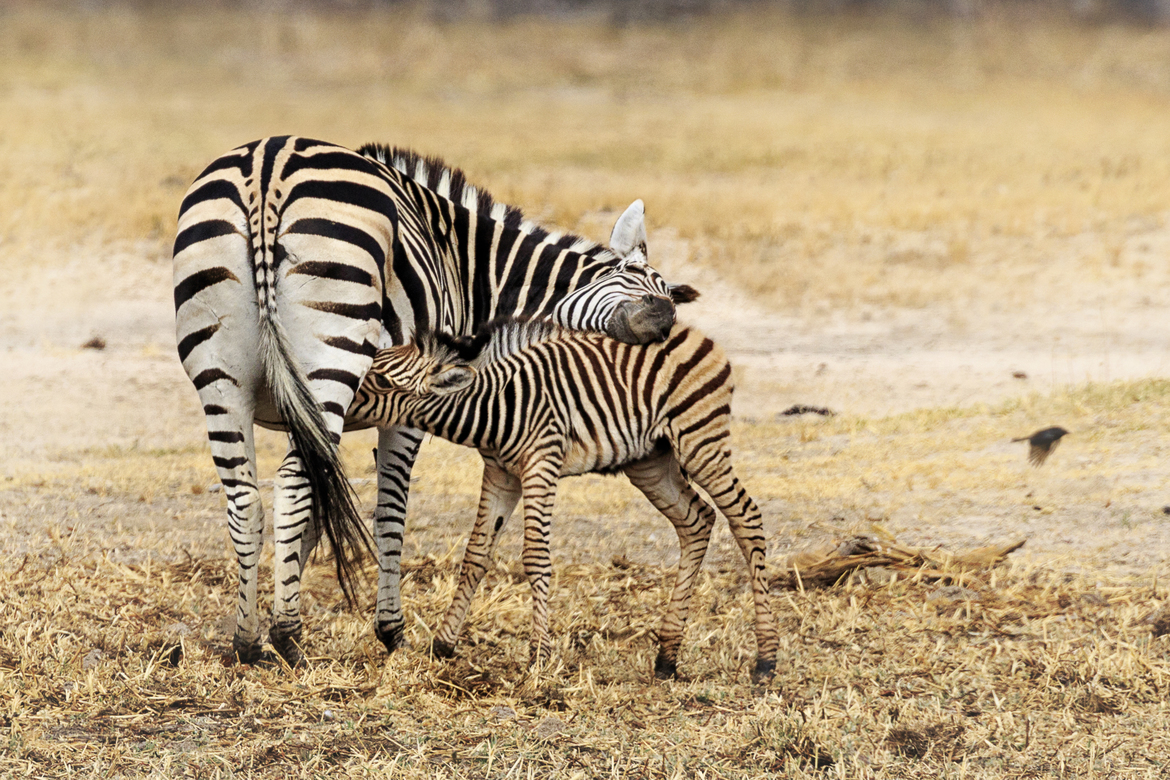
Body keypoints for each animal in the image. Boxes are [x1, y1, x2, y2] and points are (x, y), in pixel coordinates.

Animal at [173, 136, 697, 665]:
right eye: (633, 274)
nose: (664, 316)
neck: (467, 264)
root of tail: (268, 167)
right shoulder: (408, 403)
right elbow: (389, 509)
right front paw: (389, 630)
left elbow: (321, 509)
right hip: (330, 357)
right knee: (293, 484)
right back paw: (288, 635)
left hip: (222, 377)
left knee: (246, 499)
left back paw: (247, 641)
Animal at [350, 318, 779, 682]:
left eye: (382, 380)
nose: (342, 403)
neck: (497, 405)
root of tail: (693, 332)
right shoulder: (500, 474)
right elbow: (476, 554)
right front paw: (443, 644)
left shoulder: (542, 463)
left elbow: (535, 557)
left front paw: (539, 657)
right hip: (650, 461)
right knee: (697, 520)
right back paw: (667, 658)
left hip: (699, 438)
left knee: (746, 517)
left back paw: (765, 661)